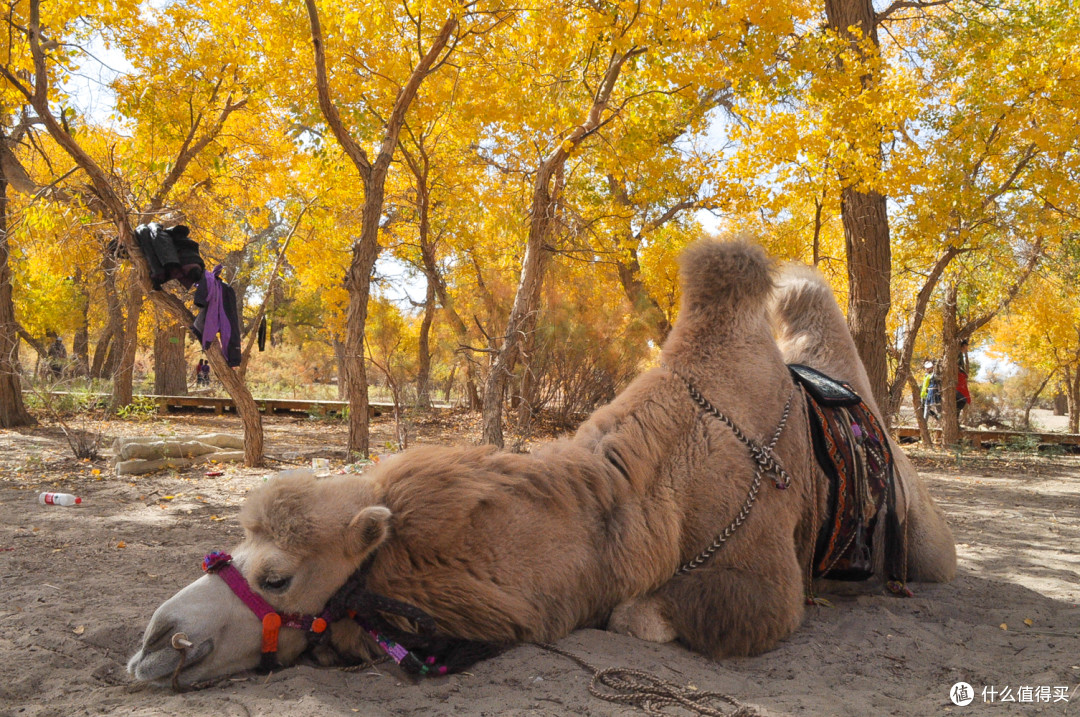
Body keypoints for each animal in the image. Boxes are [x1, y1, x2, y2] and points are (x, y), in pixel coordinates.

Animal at [126, 237, 954, 686]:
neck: (642, 501)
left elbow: (636, 613)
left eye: (279, 576)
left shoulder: (763, 583)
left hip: (925, 544)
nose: (157, 640)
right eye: (232, 548)